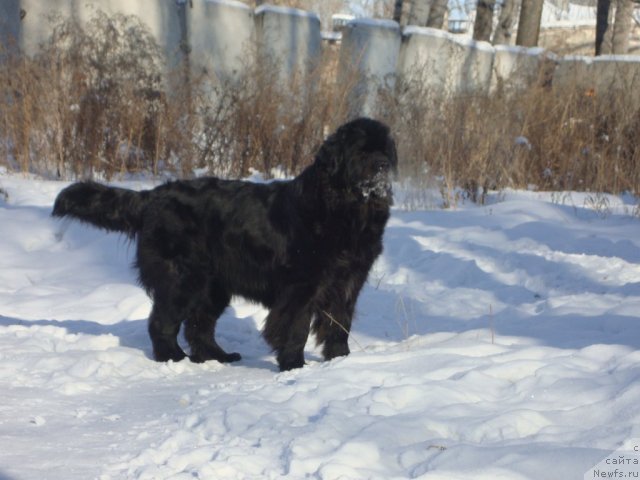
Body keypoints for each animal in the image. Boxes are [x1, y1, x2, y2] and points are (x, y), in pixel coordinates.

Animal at [53, 117, 396, 372]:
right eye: (362, 151)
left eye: (385, 151)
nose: (382, 165)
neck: (346, 209)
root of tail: (153, 196)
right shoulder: (301, 285)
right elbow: (295, 327)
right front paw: (294, 366)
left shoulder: (348, 280)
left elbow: (340, 323)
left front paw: (341, 360)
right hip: (183, 277)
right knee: (163, 322)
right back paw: (173, 359)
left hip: (212, 285)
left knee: (199, 325)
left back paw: (218, 357)